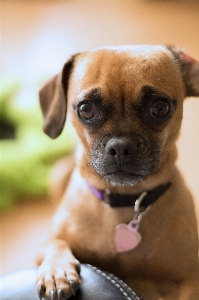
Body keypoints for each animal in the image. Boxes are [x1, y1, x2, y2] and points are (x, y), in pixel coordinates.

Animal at [35, 45, 199, 300]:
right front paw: (56, 270)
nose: (121, 147)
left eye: (159, 108)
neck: (125, 201)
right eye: (86, 109)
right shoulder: (48, 242)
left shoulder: (190, 280)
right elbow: (56, 243)